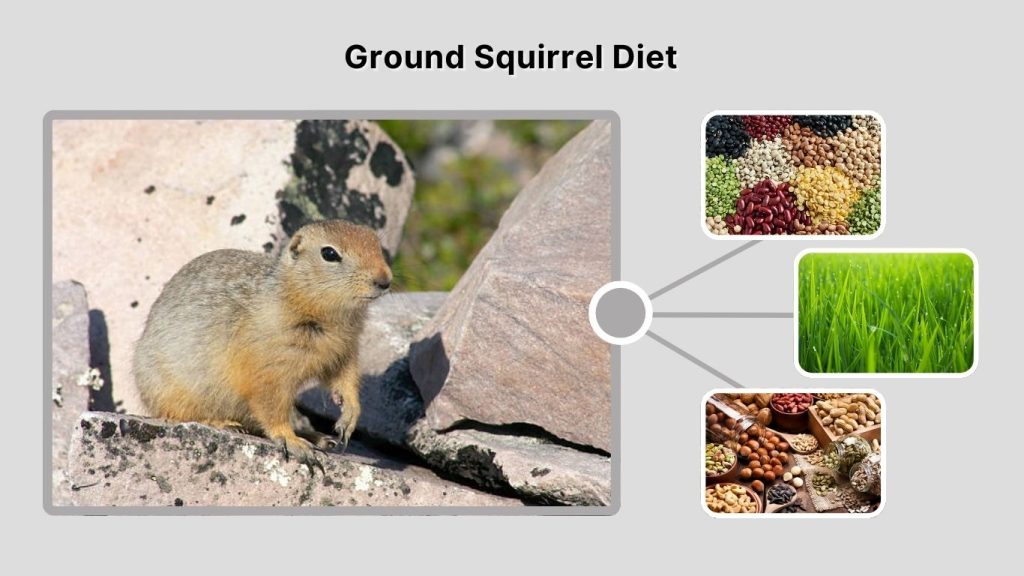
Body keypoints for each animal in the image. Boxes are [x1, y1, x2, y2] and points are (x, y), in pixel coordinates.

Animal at [132, 219, 392, 469]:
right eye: (329, 253)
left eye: (377, 244)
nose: (385, 281)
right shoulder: (268, 367)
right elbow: (271, 404)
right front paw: (292, 442)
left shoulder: (345, 350)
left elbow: (345, 379)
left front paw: (348, 417)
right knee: (178, 414)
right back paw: (225, 423)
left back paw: (319, 437)